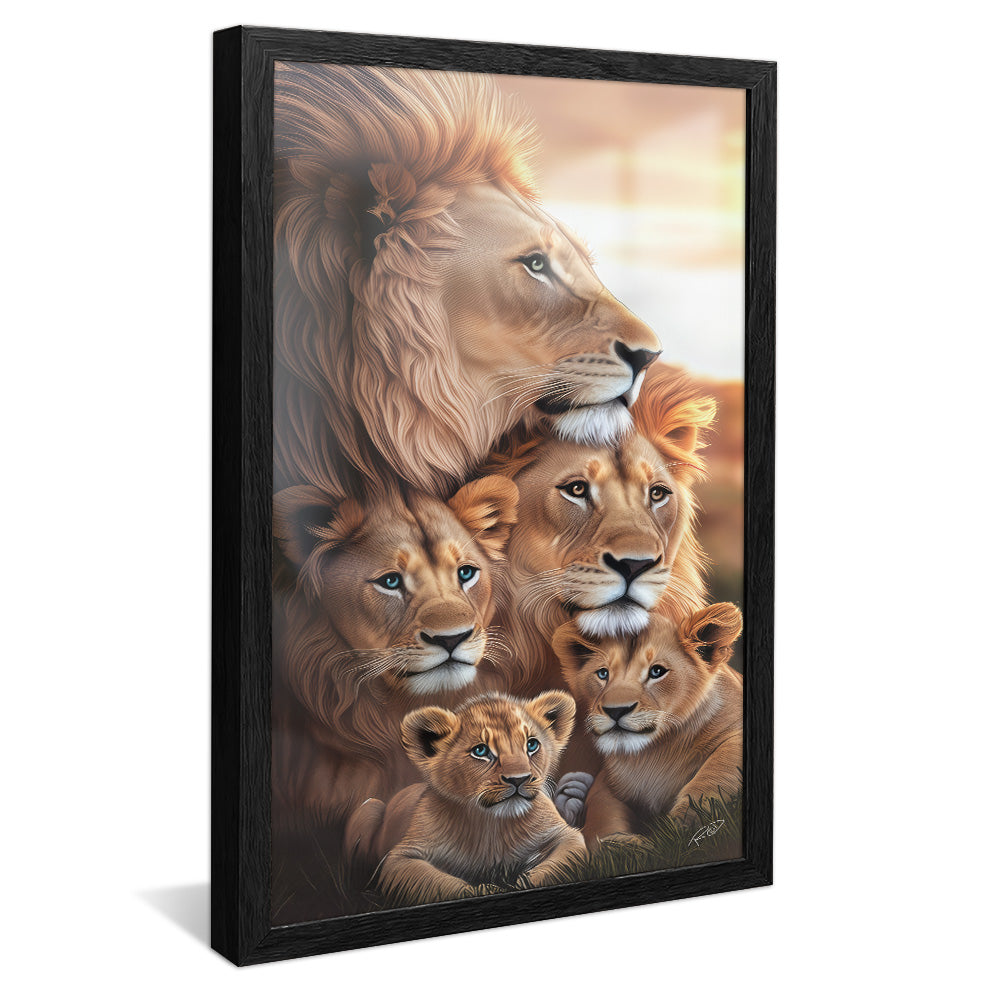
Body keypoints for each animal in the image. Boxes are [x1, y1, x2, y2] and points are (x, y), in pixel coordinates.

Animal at [373, 691, 586, 905]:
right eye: (480, 751)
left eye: (531, 744)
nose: (519, 779)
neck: (492, 825)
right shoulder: (402, 857)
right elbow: (446, 885)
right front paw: (490, 889)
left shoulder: (566, 836)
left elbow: (550, 871)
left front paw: (517, 884)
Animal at [551, 605, 743, 849]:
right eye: (603, 673)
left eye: (657, 671)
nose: (616, 711)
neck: (654, 754)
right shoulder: (609, 783)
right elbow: (600, 816)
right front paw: (621, 845)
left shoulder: (737, 734)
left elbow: (715, 774)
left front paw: (682, 826)